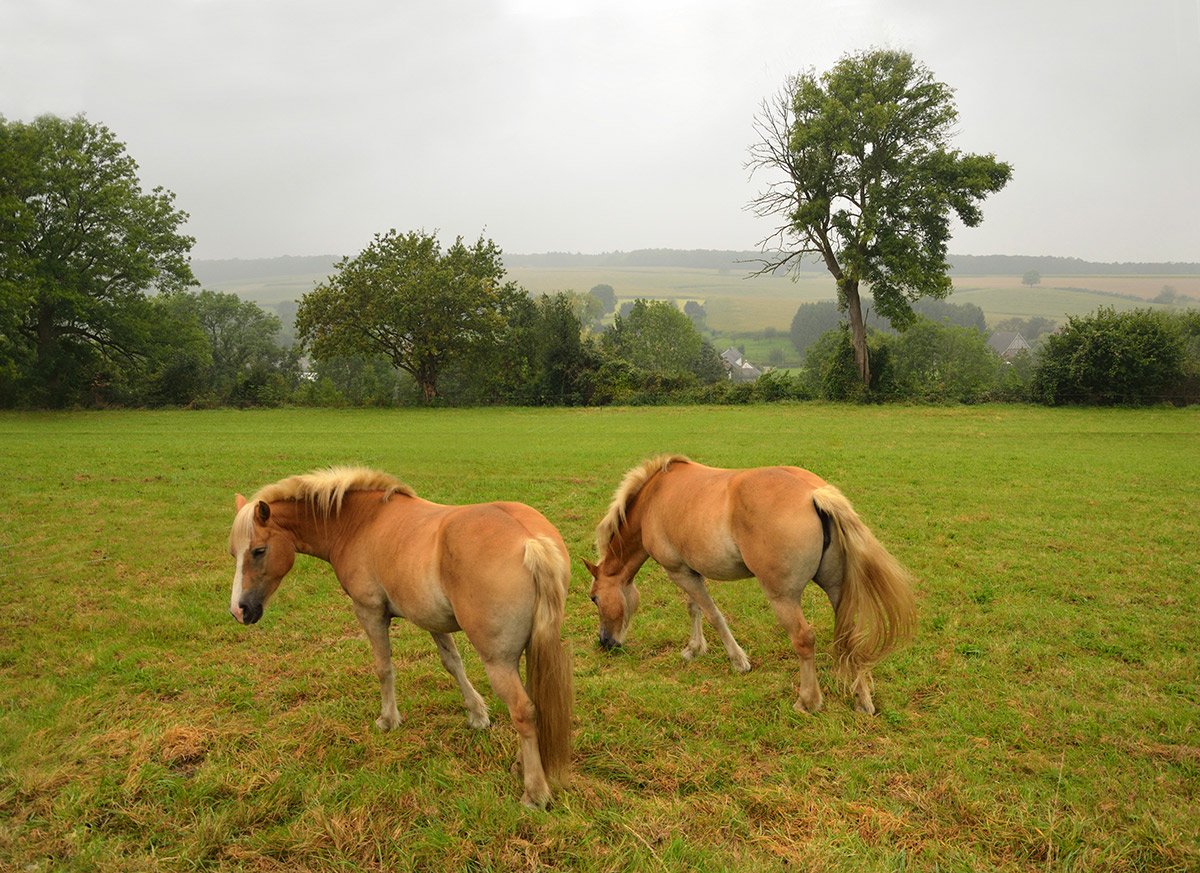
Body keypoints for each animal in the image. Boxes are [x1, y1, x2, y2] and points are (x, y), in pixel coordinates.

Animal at [232, 467, 576, 805]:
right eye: (233, 552)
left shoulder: (370, 612)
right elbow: (453, 663)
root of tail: (530, 540)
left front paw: (388, 719)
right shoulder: (432, 619)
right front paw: (477, 715)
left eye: (259, 551)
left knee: (523, 711)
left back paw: (535, 792)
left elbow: (384, 668)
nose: (239, 610)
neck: (360, 523)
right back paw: (521, 766)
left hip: (498, 662)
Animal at [585, 453, 912, 714]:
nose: (605, 642)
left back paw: (807, 701)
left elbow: (712, 614)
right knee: (849, 637)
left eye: (594, 598)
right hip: (837, 590)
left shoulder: (678, 571)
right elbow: (695, 609)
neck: (654, 498)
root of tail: (814, 494)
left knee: (804, 639)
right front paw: (694, 648)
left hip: (782, 598)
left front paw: (738, 660)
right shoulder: (689, 571)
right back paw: (863, 701)